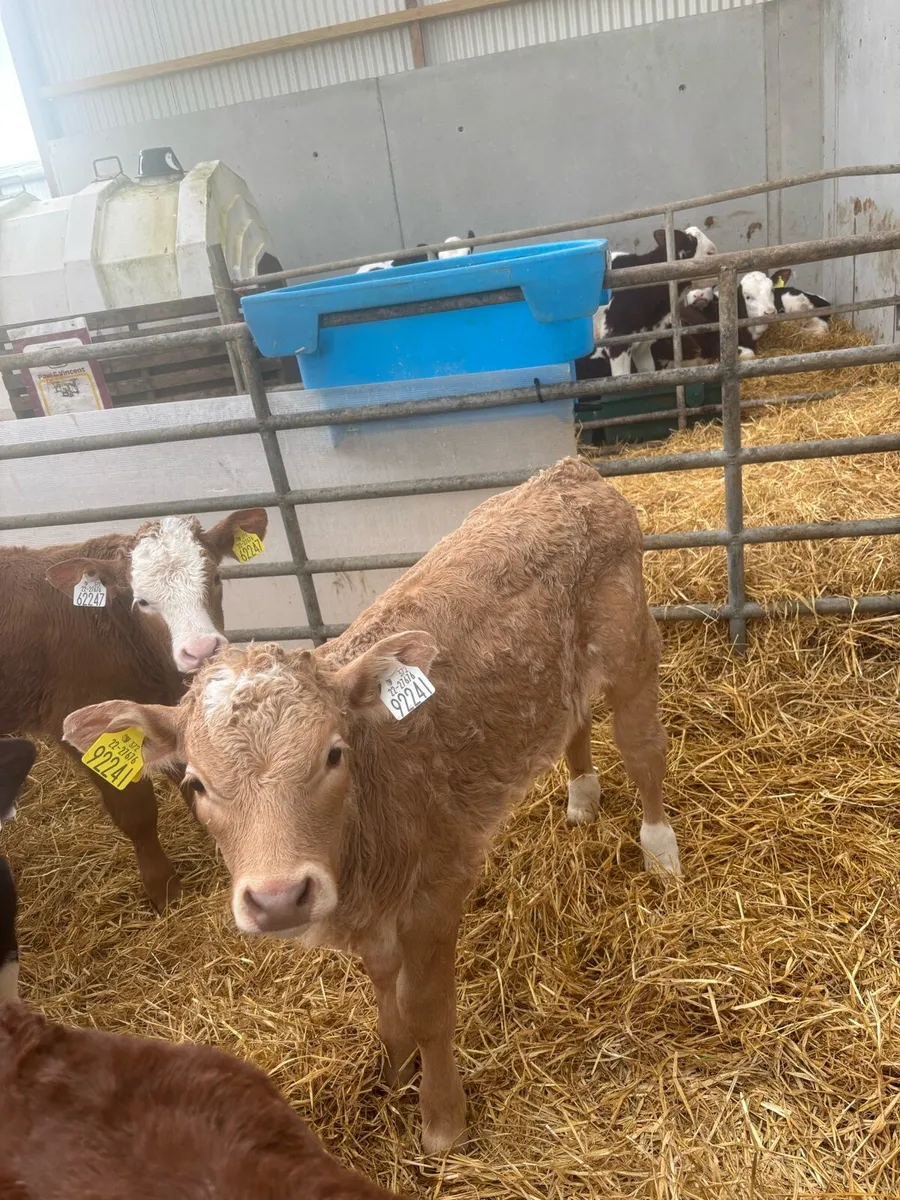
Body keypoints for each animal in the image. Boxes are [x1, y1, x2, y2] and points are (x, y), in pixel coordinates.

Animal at [0, 509, 267, 911]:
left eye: (217, 578)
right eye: (141, 601)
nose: (202, 650)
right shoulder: (82, 724)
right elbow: (136, 812)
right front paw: (165, 890)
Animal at [65, 458, 680, 1154]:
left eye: (334, 754)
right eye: (195, 783)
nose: (279, 898)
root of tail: (569, 472)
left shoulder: (437, 888)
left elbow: (429, 1009)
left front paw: (442, 1121)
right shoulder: (366, 913)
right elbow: (386, 991)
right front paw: (392, 1071)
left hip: (631, 646)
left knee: (643, 748)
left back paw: (661, 853)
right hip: (561, 670)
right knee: (574, 721)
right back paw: (582, 801)